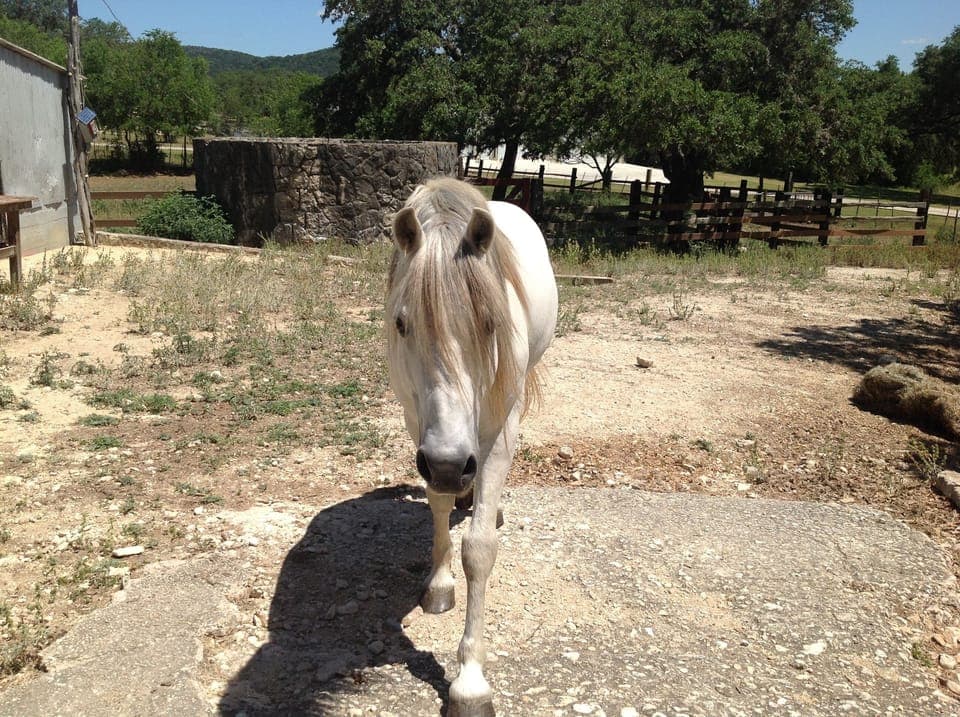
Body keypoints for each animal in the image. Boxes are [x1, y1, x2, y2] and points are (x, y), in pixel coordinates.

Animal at [385, 177, 558, 716]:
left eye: (489, 323)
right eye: (402, 324)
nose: (447, 465)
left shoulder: (500, 432)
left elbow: (479, 550)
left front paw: (470, 681)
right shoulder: (418, 424)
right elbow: (438, 505)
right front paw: (439, 583)